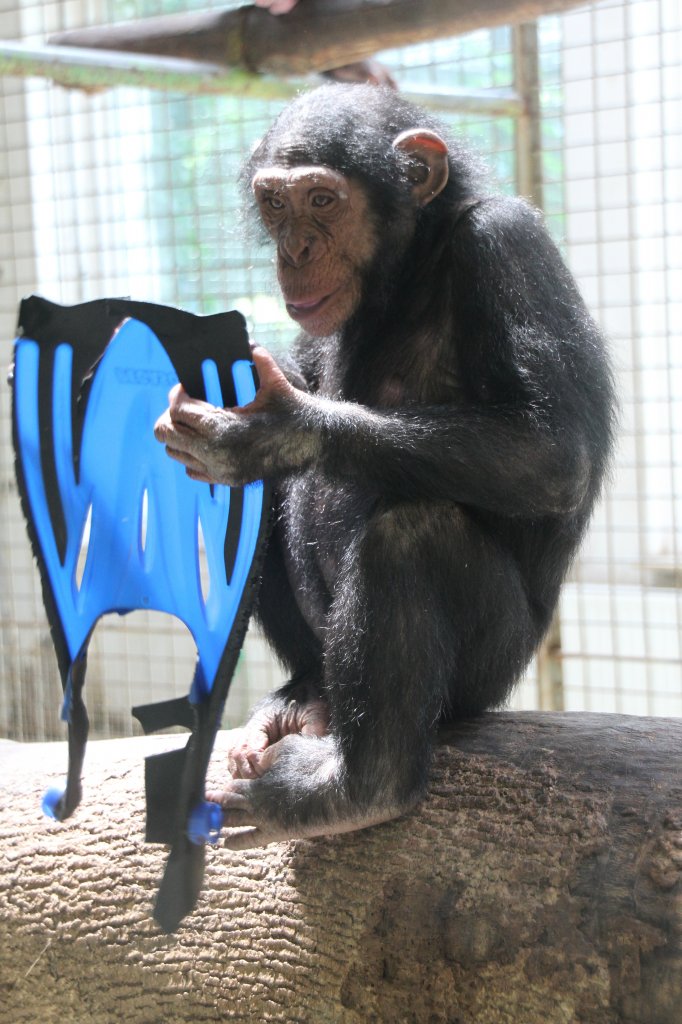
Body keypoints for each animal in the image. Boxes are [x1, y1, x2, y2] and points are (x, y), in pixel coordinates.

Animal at [152, 81, 610, 847]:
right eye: (275, 204)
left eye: (323, 200)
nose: (296, 248)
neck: (410, 267)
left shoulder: (507, 247)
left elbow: (552, 450)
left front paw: (281, 431)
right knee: (261, 510)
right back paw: (304, 698)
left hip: (489, 675)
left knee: (409, 538)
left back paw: (353, 789)